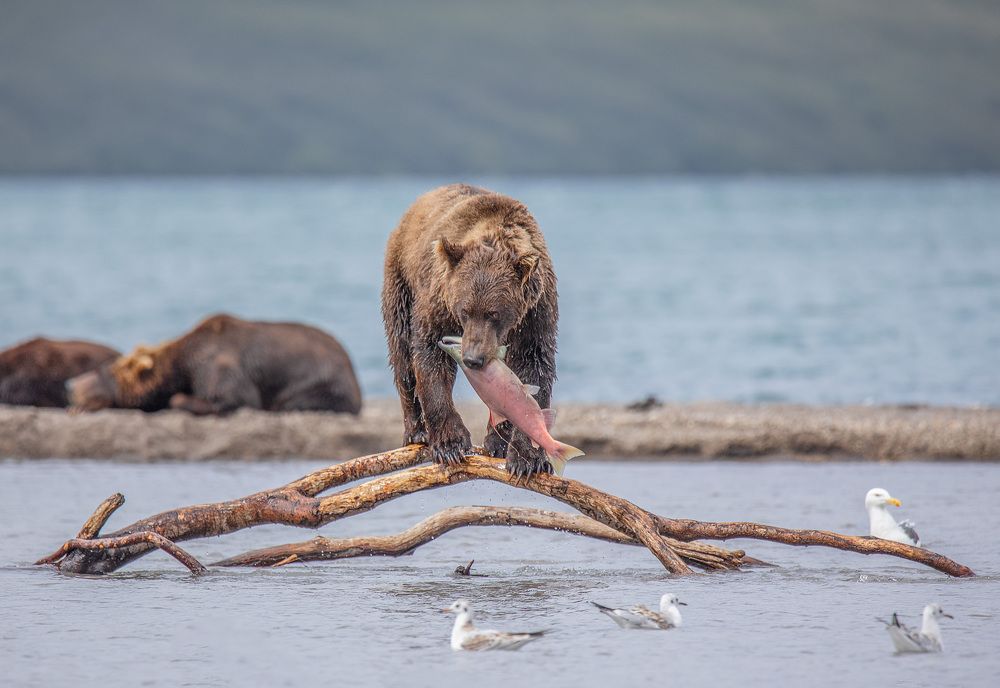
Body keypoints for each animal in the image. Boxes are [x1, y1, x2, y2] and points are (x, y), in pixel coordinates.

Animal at [381, 184, 559, 476]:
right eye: (465, 310)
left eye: (493, 313)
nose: (473, 359)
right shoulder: (440, 299)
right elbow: (430, 357)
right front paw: (450, 445)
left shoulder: (535, 314)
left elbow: (533, 367)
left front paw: (526, 458)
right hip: (400, 280)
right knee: (402, 355)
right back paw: (417, 431)